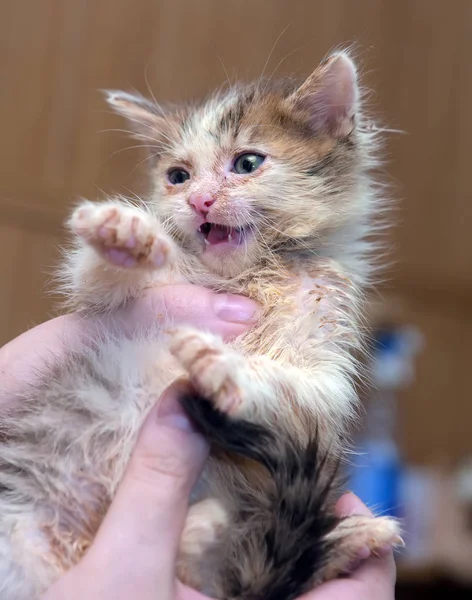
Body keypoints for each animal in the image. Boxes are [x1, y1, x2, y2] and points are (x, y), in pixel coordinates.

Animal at [0, 52, 402, 600]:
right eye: (178, 176)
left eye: (247, 163)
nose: (200, 202)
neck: (252, 274)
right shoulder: (118, 303)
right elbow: (97, 280)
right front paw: (124, 235)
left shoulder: (328, 358)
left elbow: (299, 393)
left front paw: (224, 367)